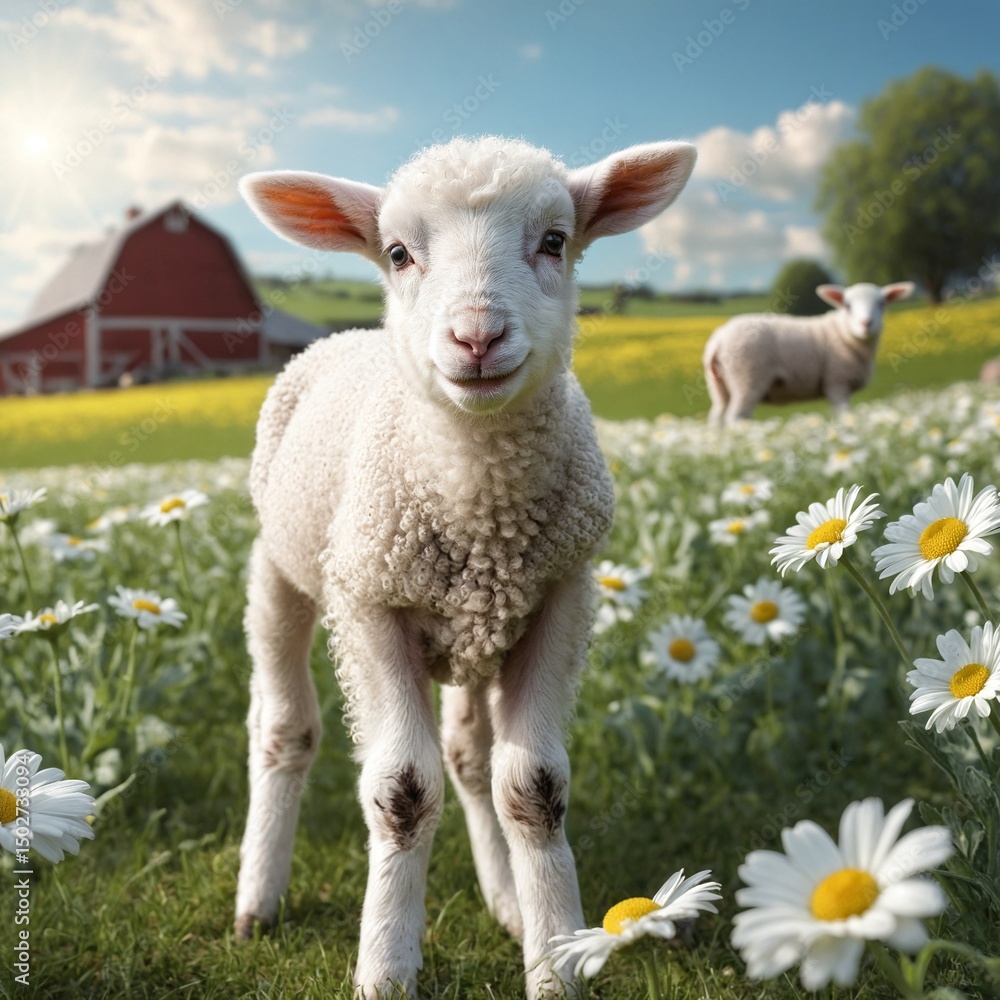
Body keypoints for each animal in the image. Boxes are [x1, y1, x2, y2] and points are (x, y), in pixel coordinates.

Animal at [233, 135, 696, 999]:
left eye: (554, 240)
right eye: (398, 252)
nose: (476, 337)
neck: (479, 502)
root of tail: (345, 336)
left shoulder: (559, 597)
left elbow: (533, 788)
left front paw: (554, 961)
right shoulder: (367, 603)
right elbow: (403, 791)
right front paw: (386, 966)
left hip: (477, 630)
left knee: (471, 758)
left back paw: (506, 899)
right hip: (280, 571)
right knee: (286, 731)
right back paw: (257, 900)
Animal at [703, 281, 915, 425]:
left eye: (882, 303)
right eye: (847, 306)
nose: (866, 323)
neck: (842, 333)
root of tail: (719, 338)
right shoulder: (836, 381)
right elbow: (845, 415)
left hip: (719, 385)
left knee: (717, 416)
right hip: (746, 377)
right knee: (735, 417)